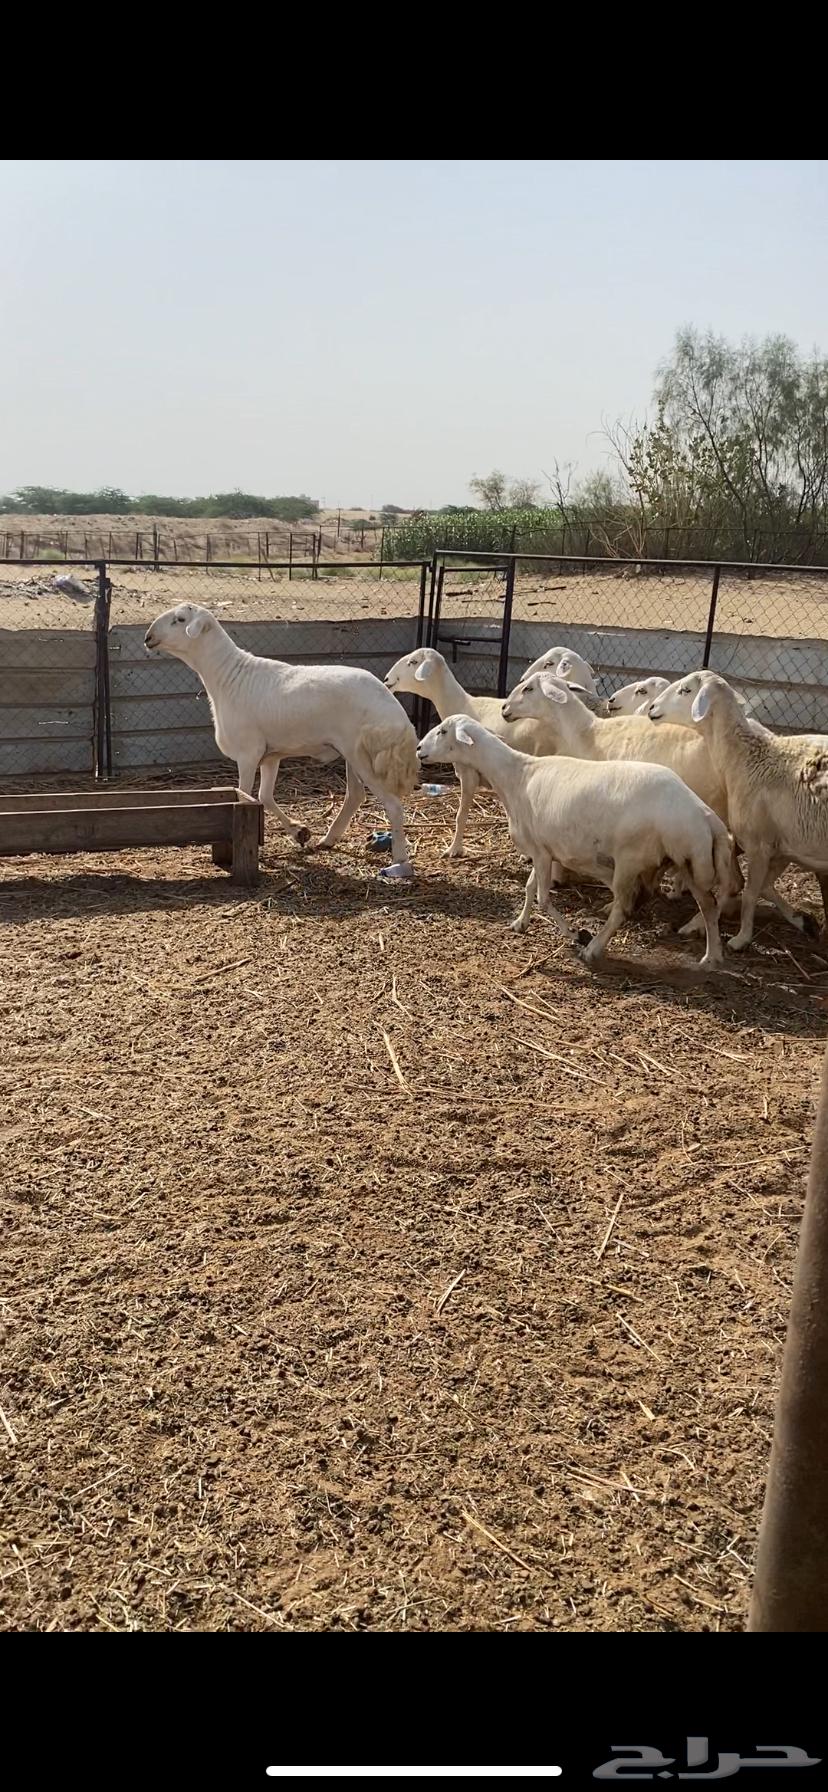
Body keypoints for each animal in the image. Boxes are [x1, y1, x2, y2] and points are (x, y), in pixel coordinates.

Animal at [145, 603, 419, 871]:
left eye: (180, 619)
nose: (148, 637)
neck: (227, 677)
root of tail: (400, 718)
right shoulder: (270, 755)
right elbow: (264, 797)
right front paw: (299, 832)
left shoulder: (248, 752)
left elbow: (244, 793)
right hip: (352, 753)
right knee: (355, 796)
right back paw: (328, 839)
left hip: (362, 755)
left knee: (392, 805)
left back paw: (399, 859)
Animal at [384, 646, 561, 858]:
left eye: (413, 662)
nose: (386, 679)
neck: (461, 703)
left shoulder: (468, 772)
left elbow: (461, 816)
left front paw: (454, 848)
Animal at [417, 715, 730, 968]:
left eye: (443, 731)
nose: (419, 749)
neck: (517, 776)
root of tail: (702, 813)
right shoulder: (542, 849)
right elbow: (530, 888)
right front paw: (520, 923)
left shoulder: (542, 853)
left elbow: (543, 898)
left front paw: (573, 932)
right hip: (689, 861)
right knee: (708, 904)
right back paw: (712, 957)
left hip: (631, 858)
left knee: (623, 906)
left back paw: (593, 948)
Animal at [648, 670, 828, 949]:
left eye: (686, 690)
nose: (652, 708)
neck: (745, 759)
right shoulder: (785, 846)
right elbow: (763, 888)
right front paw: (802, 921)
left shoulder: (759, 844)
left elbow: (750, 893)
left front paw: (741, 937)